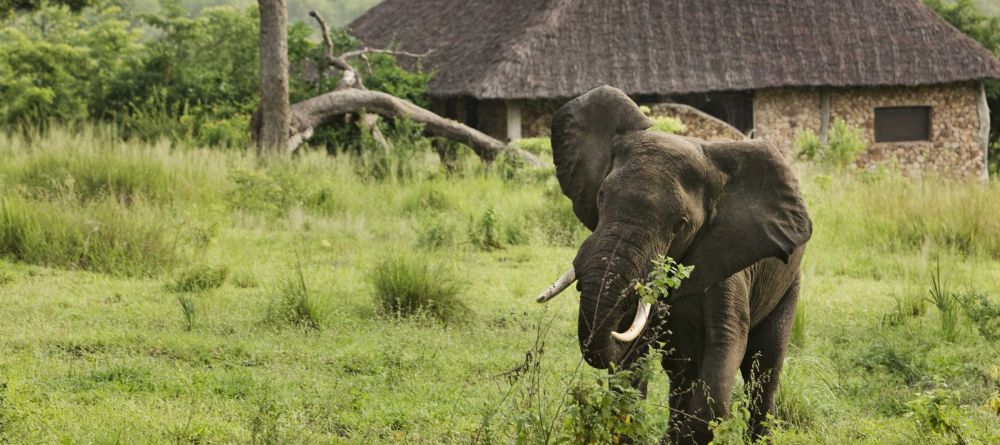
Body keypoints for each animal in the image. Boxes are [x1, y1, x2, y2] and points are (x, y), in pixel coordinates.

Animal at [532, 85, 812, 442]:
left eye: (680, 224)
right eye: (602, 197)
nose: (659, 309)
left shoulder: (729, 261)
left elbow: (726, 346)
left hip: (789, 283)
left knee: (764, 367)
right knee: (681, 370)